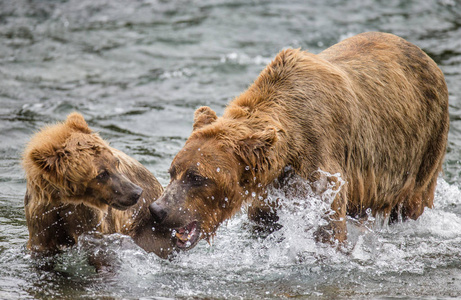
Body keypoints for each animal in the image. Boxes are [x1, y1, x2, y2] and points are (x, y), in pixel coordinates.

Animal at [22, 112, 172, 258]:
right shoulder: (41, 217)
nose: (136, 192)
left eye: (116, 162)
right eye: (101, 174)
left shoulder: (89, 220)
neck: (63, 202)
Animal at [149, 31, 448, 251]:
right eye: (173, 171)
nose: (159, 209)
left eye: (197, 177)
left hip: (424, 146)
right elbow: (264, 224)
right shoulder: (269, 194)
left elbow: (327, 228)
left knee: (413, 202)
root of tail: (425, 55)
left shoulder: (321, 171)